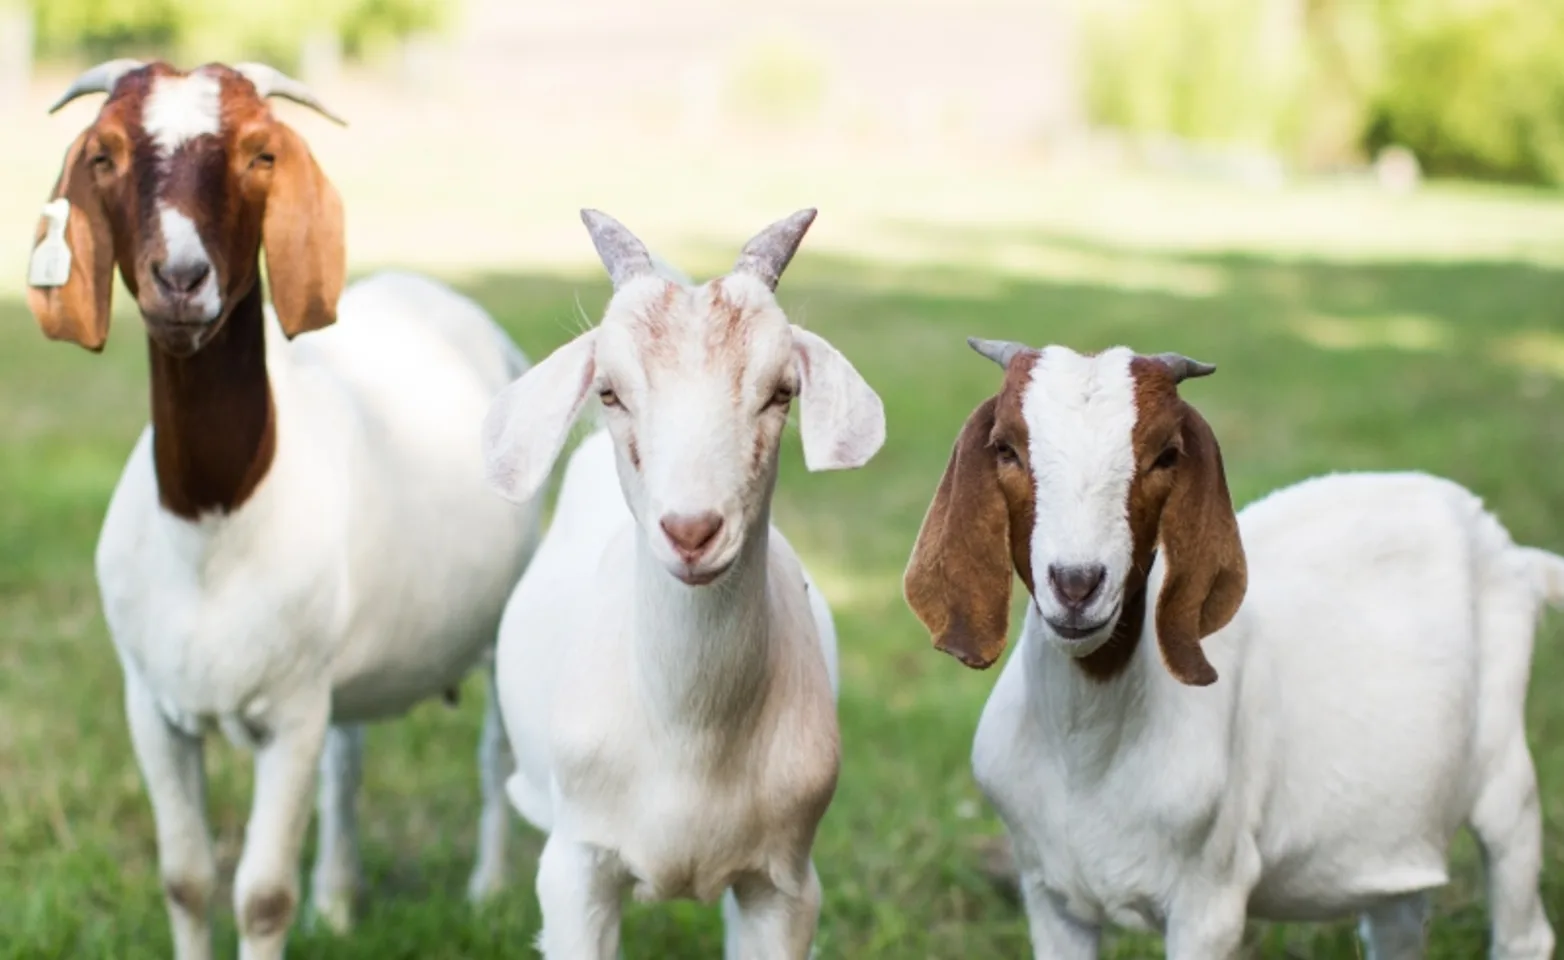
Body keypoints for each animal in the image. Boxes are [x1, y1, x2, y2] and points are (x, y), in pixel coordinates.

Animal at [28, 62, 544, 960]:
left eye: (260, 153)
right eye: (105, 154)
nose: (181, 278)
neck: (212, 524)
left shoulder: (291, 716)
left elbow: (262, 895)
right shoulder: (152, 707)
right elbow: (187, 879)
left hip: (498, 615)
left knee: (494, 756)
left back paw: (486, 893)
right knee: (348, 762)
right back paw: (338, 901)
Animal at [481, 206, 888, 956]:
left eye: (781, 392)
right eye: (610, 391)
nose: (692, 531)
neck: (688, 737)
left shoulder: (785, 885)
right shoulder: (576, 868)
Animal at [900, 340, 1557, 960]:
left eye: (1165, 455)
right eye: (1006, 449)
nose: (1077, 583)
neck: (1087, 752)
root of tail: (1512, 553)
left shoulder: (1208, 900)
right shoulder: (1050, 896)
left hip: (1506, 772)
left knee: (1523, 920)